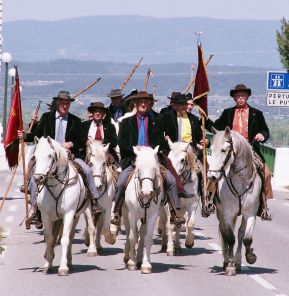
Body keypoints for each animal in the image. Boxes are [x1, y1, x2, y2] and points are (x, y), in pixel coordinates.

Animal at [32, 136, 96, 276]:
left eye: (50, 155)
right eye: (35, 156)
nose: (38, 178)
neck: (57, 186)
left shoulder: (69, 213)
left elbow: (64, 239)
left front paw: (62, 268)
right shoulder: (46, 216)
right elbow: (49, 239)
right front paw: (47, 265)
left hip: (84, 210)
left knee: (86, 229)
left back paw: (87, 253)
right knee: (69, 236)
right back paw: (69, 261)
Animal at [207, 128, 260, 276]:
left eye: (224, 150)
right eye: (211, 149)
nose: (212, 176)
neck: (240, 182)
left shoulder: (250, 213)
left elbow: (247, 237)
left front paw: (250, 256)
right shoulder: (227, 213)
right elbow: (230, 238)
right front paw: (230, 266)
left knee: (241, 233)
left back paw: (238, 261)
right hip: (221, 214)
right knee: (224, 232)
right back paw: (227, 261)